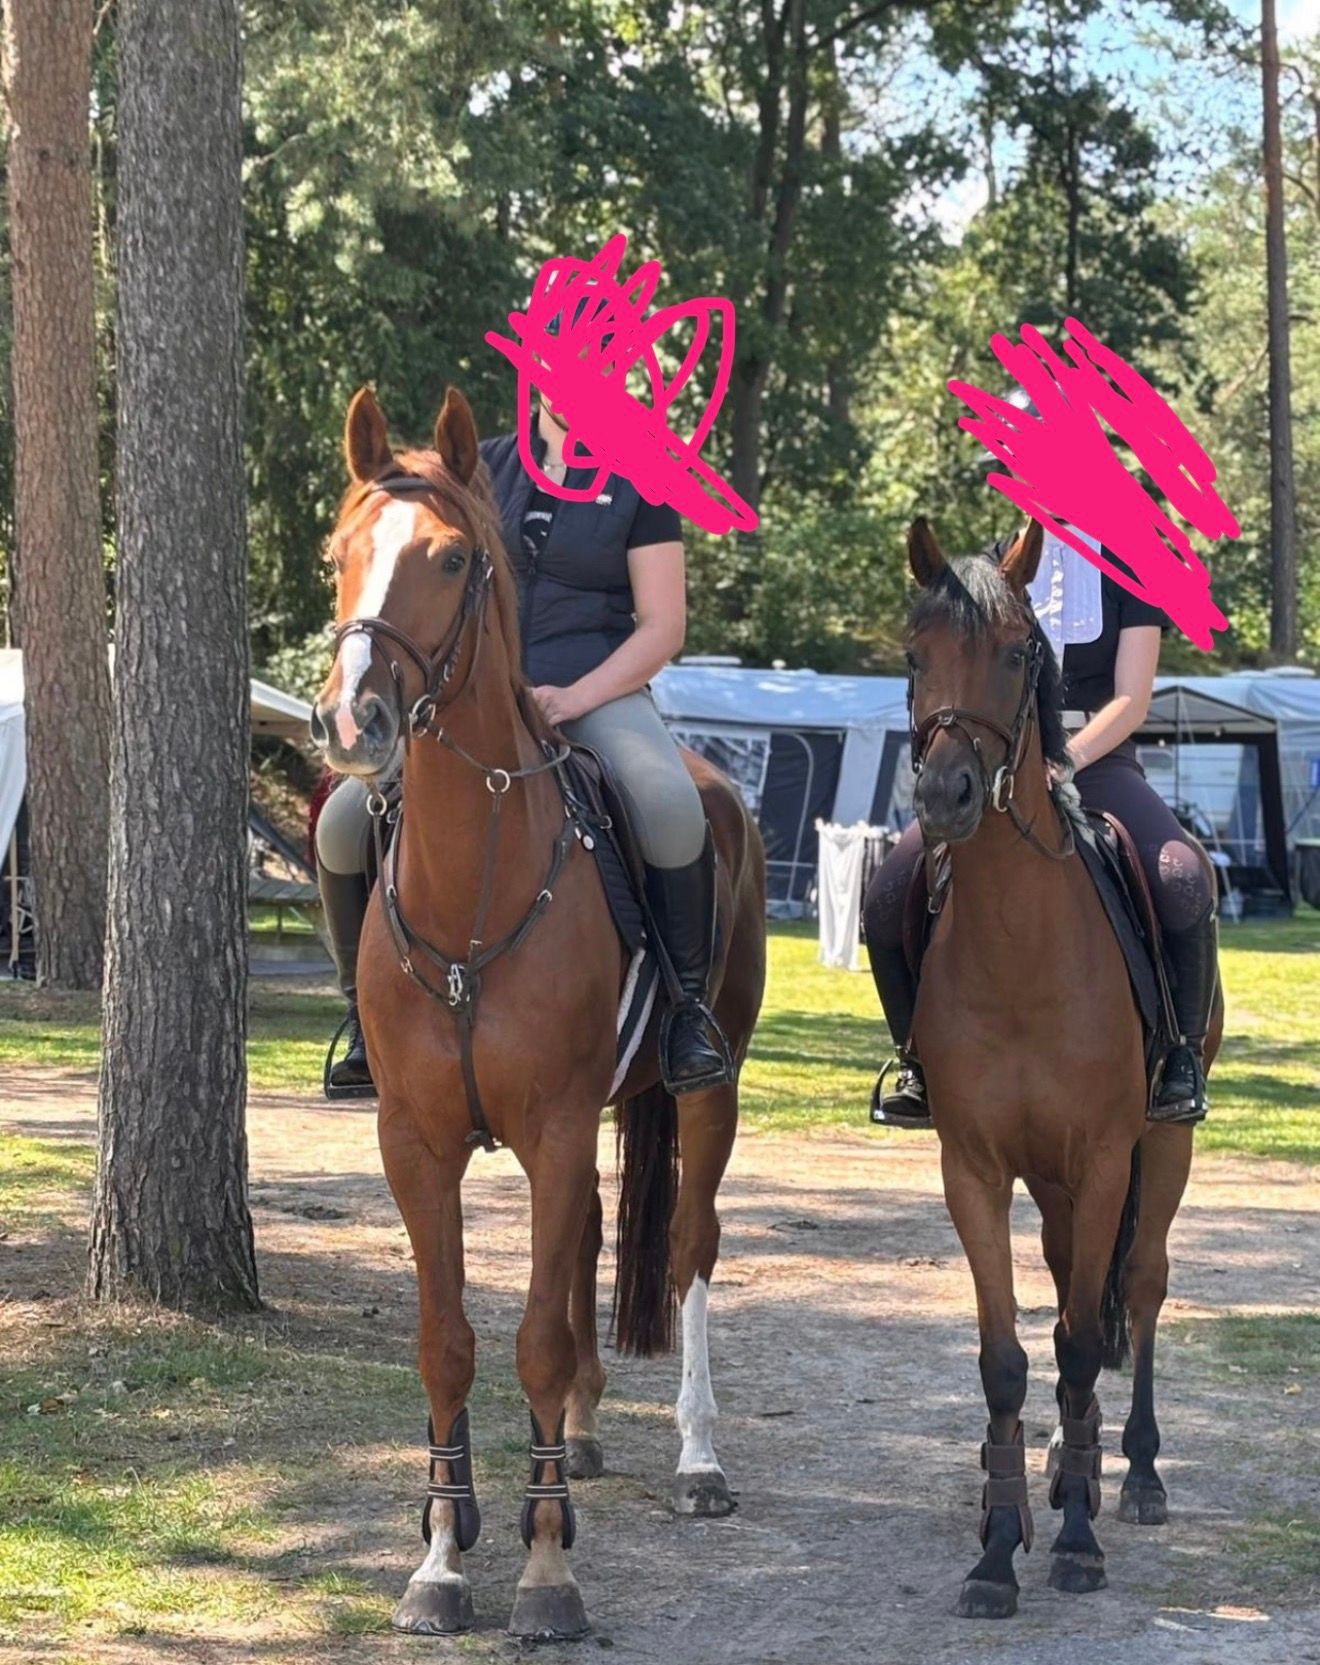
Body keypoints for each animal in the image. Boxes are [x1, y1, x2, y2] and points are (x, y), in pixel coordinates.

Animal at [309, 385, 766, 1640]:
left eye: (453, 559)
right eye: (338, 555)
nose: (354, 723)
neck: (473, 888)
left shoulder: (557, 1130)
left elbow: (540, 1340)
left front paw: (547, 1570)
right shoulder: (414, 1142)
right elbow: (451, 1343)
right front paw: (440, 1554)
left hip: (707, 1091)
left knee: (690, 1247)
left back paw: (697, 1463)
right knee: (596, 1246)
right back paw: (583, 1439)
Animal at [901, 517, 1221, 1619]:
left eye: (1014, 655)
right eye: (914, 654)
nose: (946, 795)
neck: (1019, 948)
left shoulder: (1110, 1157)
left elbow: (1085, 1338)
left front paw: (1079, 1540)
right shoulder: (975, 1166)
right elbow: (1006, 1356)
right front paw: (998, 1547)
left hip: (1161, 1152)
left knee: (1145, 1284)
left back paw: (1138, 1475)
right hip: (1053, 1179)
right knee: (1066, 1276)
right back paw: (1047, 1470)